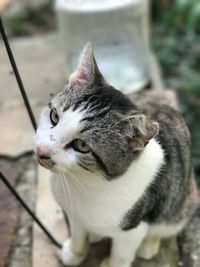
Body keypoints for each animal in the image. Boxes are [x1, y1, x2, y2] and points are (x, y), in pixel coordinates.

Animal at [33, 44, 198, 267]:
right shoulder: (75, 215)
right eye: (54, 116)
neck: (84, 181)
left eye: (82, 145)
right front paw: (74, 254)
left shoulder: (133, 229)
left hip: (183, 201)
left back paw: (149, 245)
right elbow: (78, 235)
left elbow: (121, 254)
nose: (41, 151)